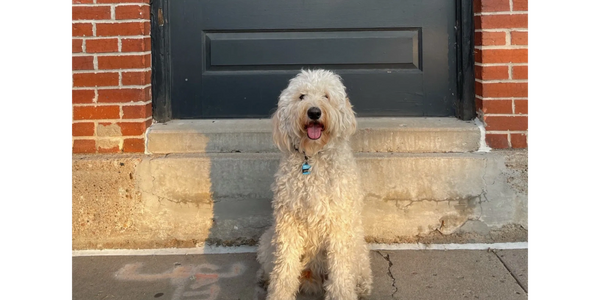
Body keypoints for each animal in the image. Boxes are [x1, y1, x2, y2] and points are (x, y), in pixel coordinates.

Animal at [256, 69, 372, 298]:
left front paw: (342, 294)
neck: (313, 157)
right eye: (302, 96)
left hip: (358, 247)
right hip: (267, 240)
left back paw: (362, 285)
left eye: (326, 96)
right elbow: (285, 266)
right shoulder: (288, 222)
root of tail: (313, 278)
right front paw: (279, 293)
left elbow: (341, 269)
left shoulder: (339, 223)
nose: (314, 112)